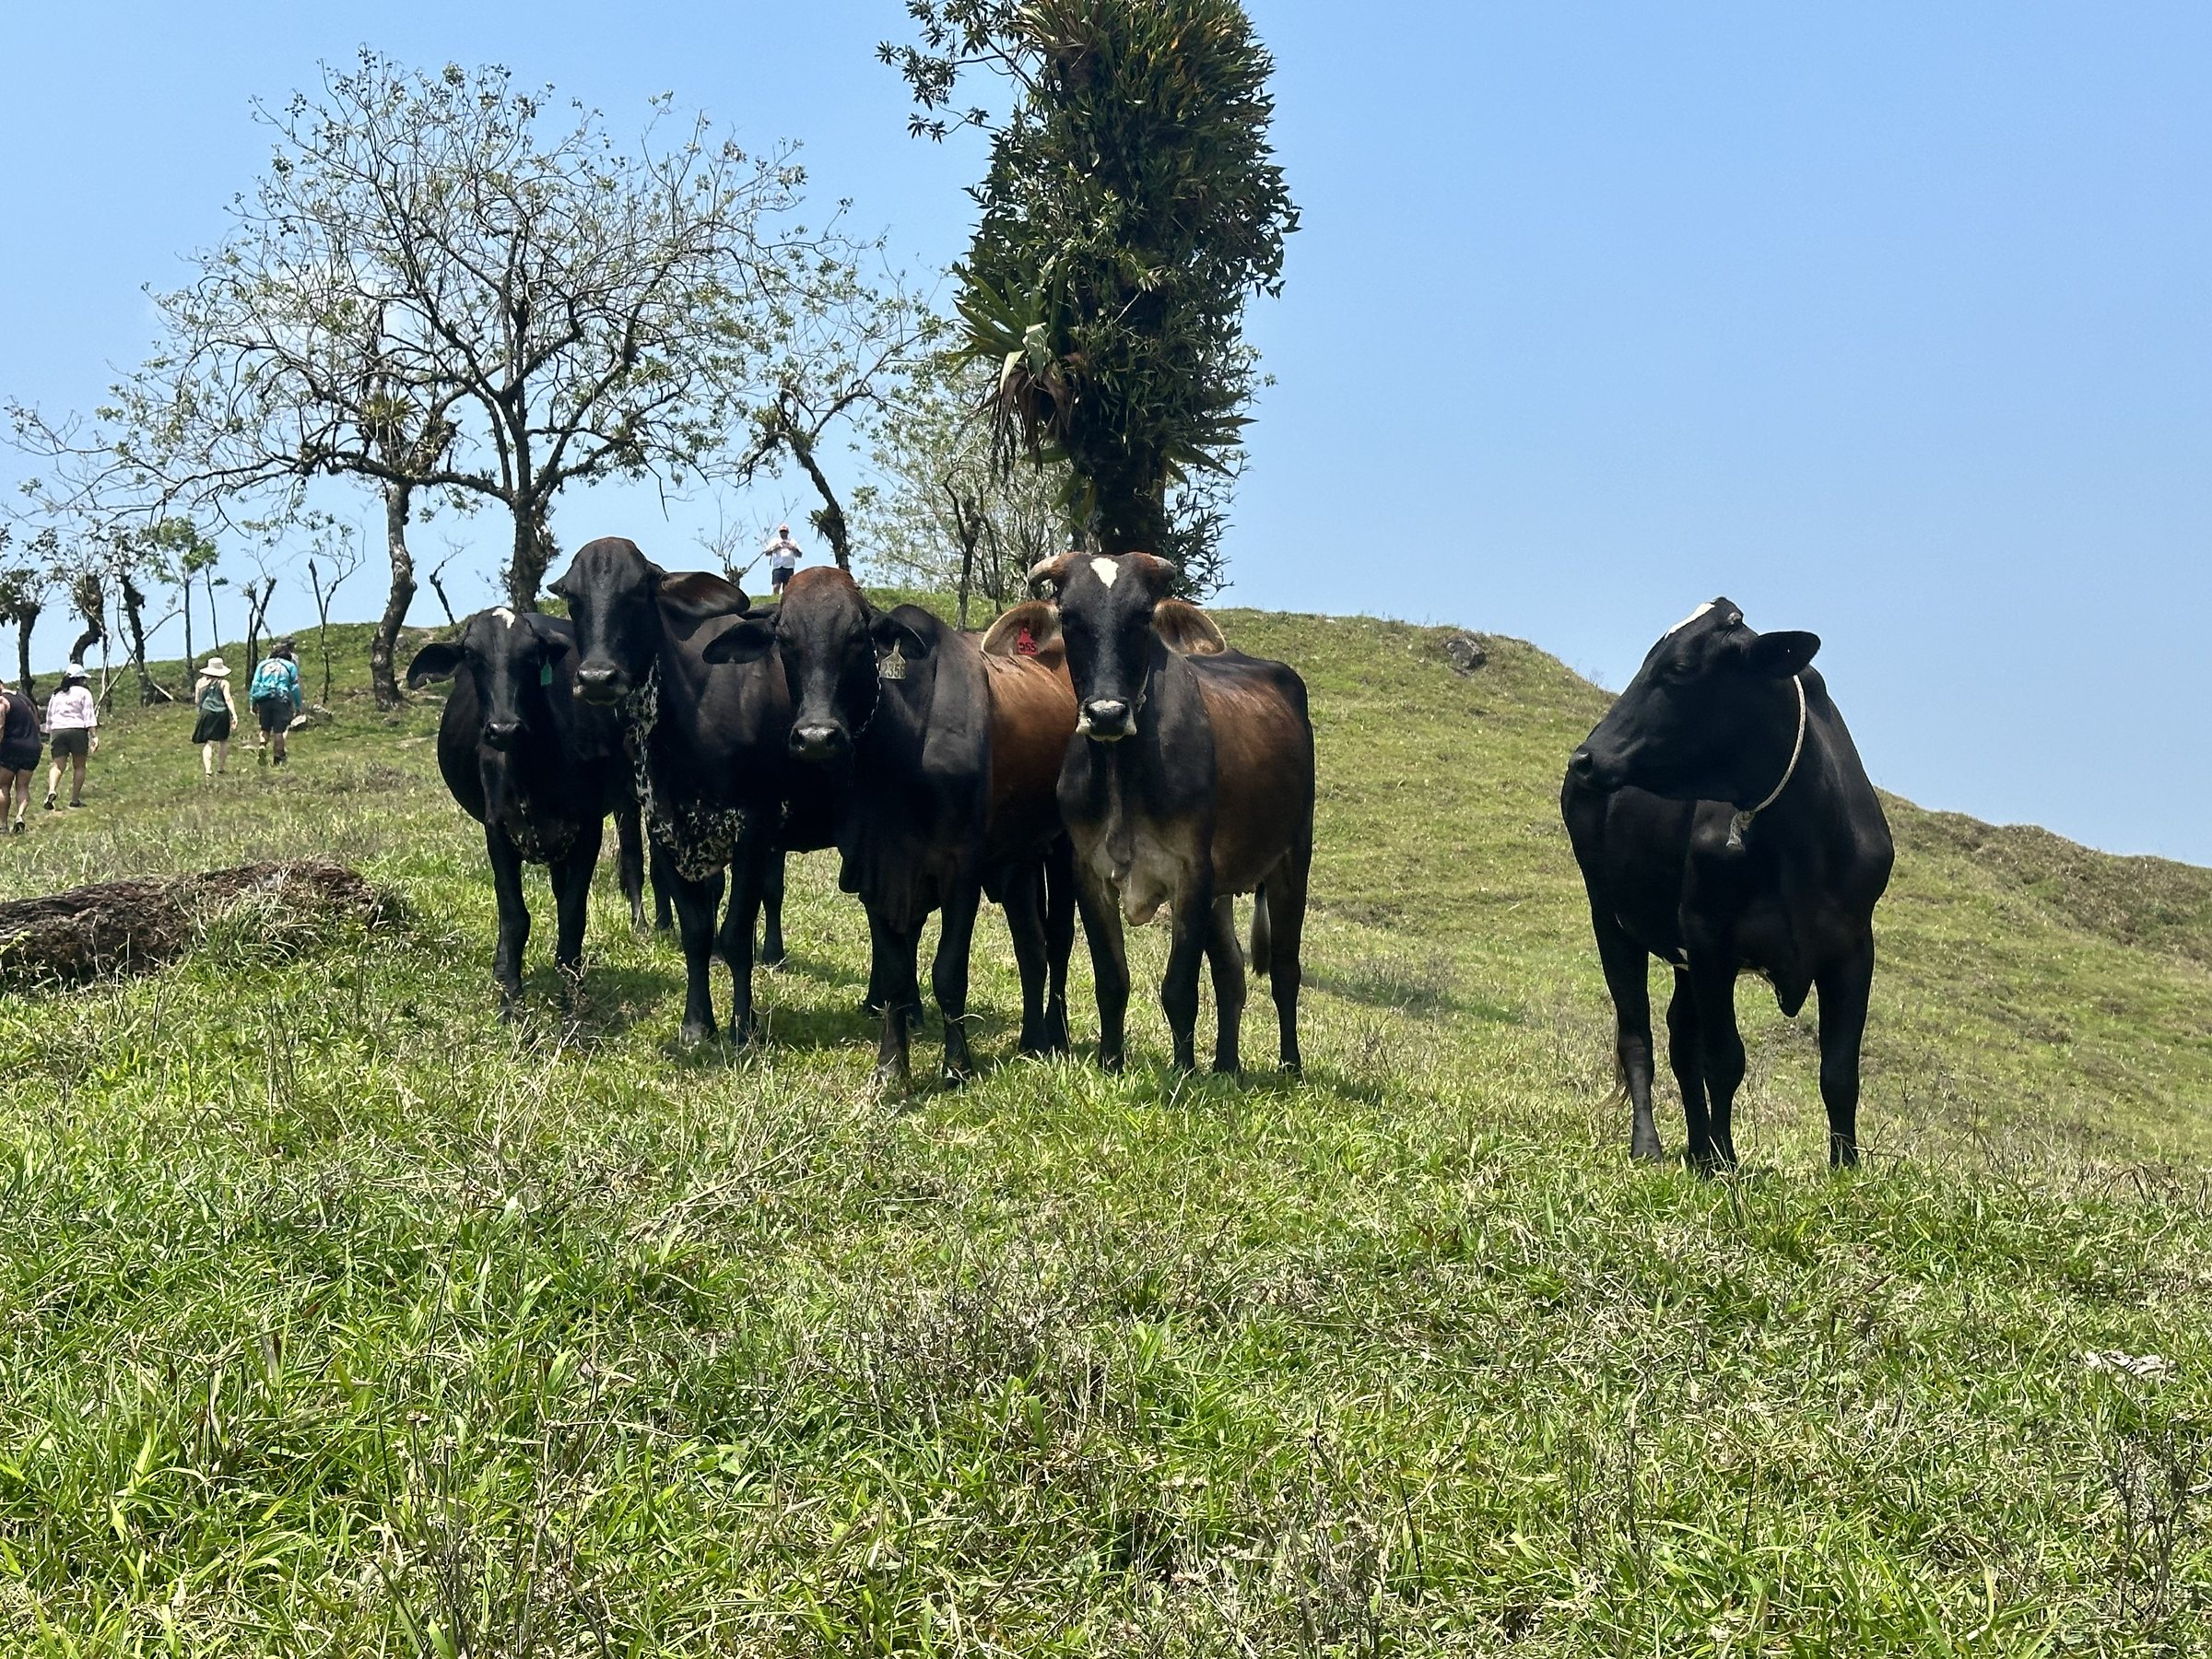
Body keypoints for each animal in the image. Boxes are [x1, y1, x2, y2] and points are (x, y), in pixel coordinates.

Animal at [405, 606, 647, 1013]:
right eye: (471, 656)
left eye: (532, 656)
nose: (504, 728)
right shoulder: (497, 830)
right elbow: (514, 916)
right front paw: (509, 996)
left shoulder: (587, 830)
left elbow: (572, 914)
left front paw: (573, 997)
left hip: (627, 796)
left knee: (629, 860)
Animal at [550, 537, 832, 1045]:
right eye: (573, 598)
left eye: (638, 593)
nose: (597, 678)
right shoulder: (664, 826)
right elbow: (696, 931)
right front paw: (698, 1022)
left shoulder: (755, 825)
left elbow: (737, 930)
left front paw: (743, 1025)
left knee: (771, 891)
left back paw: (773, 952)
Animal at [702, 566, 1079, 1087]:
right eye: (785, 640)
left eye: (857, 638)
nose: (816, 737)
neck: (903, 745)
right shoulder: (873, 867)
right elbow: (896, 973)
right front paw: (891, 1067)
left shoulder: (962, 870)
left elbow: (948, 971)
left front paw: (957, 1066)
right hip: (1018, 860)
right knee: (1030, 945)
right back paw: (1031, 1040)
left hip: (1060, 851)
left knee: (1051, 942)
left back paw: (1051, 1038)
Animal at [1026, 551, 1315, 1075]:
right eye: (1070, 617)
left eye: (1143, 616)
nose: (1106, 713)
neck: (1122, 771)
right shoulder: (1088, 872)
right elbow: (1111, 980)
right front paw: (1111, 1062)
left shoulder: (1192, 872)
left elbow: (1179, 989)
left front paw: (1183, 1072)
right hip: (1223, 888)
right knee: (1230, 971)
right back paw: (1226, 1066)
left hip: (1291, 859)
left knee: (1285, 969)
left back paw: (1290, 1068)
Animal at [1561, 597, 1894, 1172]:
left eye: (1679, 668)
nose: (1586, 758)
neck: (1800, 844)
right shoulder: (1709, 937)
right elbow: (1724, 1059)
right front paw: (1723, 1162)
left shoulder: (1853, 946)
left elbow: (1839, 1072)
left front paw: (1846, 1169)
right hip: (1611, 917)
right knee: (1638, 1035)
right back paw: (1652, 1146)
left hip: (1682, 956)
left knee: (1679, 1034)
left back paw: (1694, 1148)